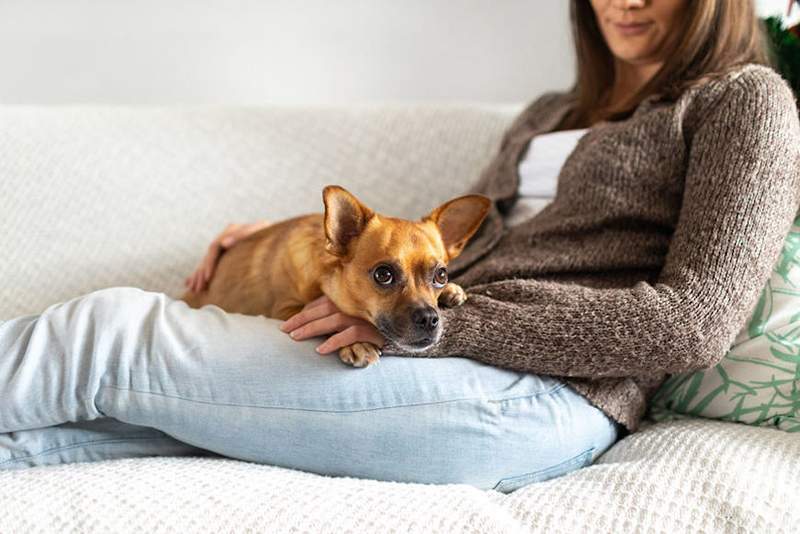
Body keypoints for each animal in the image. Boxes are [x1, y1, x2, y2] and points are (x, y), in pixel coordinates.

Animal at [184, 185, 490, 368]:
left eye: (441, 274)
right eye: (383, 274)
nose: (429, 318)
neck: (325, 276)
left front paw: (451, 291)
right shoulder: (286, 310)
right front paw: (355, 342)